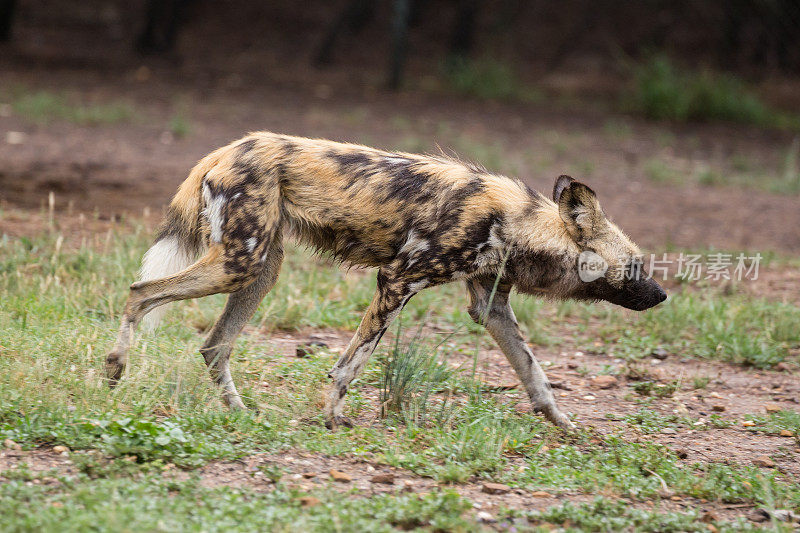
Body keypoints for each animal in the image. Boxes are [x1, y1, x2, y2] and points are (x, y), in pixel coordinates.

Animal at [108, 132, 668, 428]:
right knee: (140, 293)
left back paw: (243, 413)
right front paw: (331, 416)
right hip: (238, 264)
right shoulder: (396, 281)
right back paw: (114, 370)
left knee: (213, 346)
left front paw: (562, 423)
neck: (516, 223)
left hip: (260, 269)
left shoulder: (491, 307)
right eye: (636, 267)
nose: (663, 296)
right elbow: (349, 365)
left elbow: (535, 374)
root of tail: (227, 148)